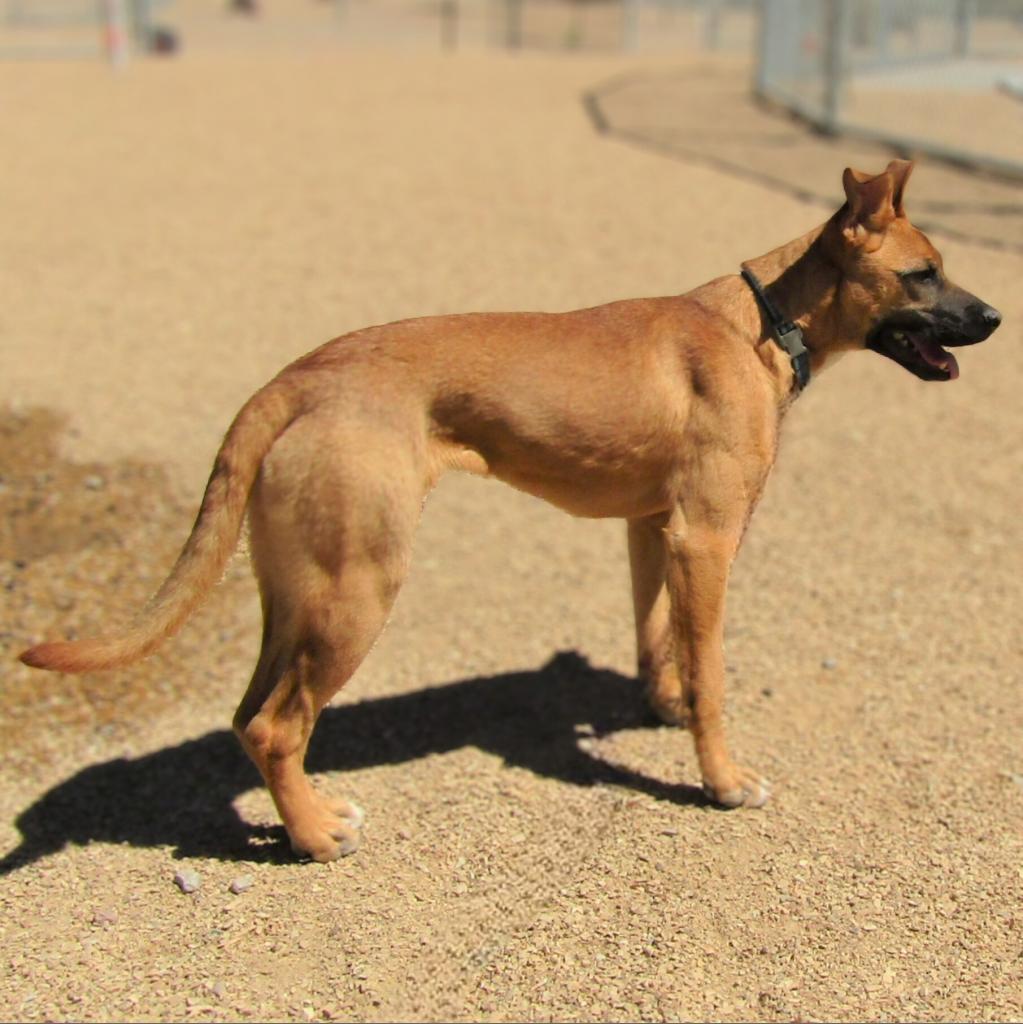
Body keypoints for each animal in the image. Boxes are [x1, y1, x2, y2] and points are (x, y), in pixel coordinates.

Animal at [22, 161, 999, 864]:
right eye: (923, 274)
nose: (993, 316)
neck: (761, 321)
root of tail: (294, 378)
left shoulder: (655, 529)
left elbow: (656, 637)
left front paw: (661, 704)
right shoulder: (708, 539)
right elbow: (713, 675)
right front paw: (720, 779)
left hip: (298, 593)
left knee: (251, 719)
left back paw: (309, 812)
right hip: (356, 590)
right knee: (275, 725)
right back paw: (313, 839)